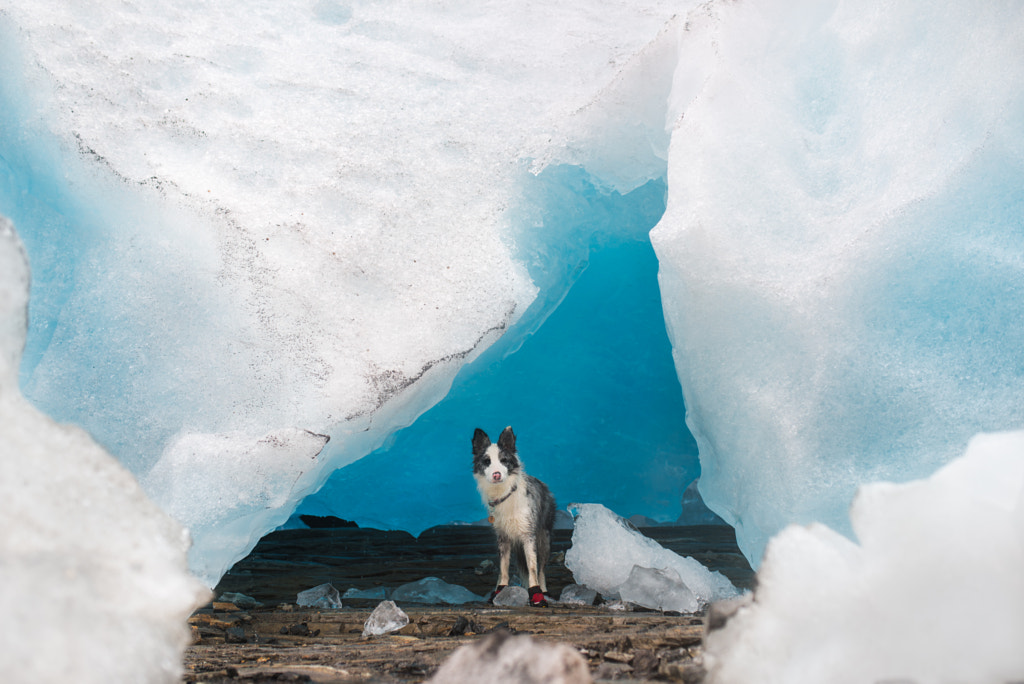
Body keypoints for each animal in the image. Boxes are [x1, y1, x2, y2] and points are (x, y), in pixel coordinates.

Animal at [473, 423, 557, 606]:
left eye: (504, 460)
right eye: (487, 461)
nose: (496, 474)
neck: (504, 494)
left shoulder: (528, 536)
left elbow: (532, 569)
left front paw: (536, 595)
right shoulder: (502, 538)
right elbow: (503, 568)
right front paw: (500, 590)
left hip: (544, 539)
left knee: (541, 569)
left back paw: (544, 590)